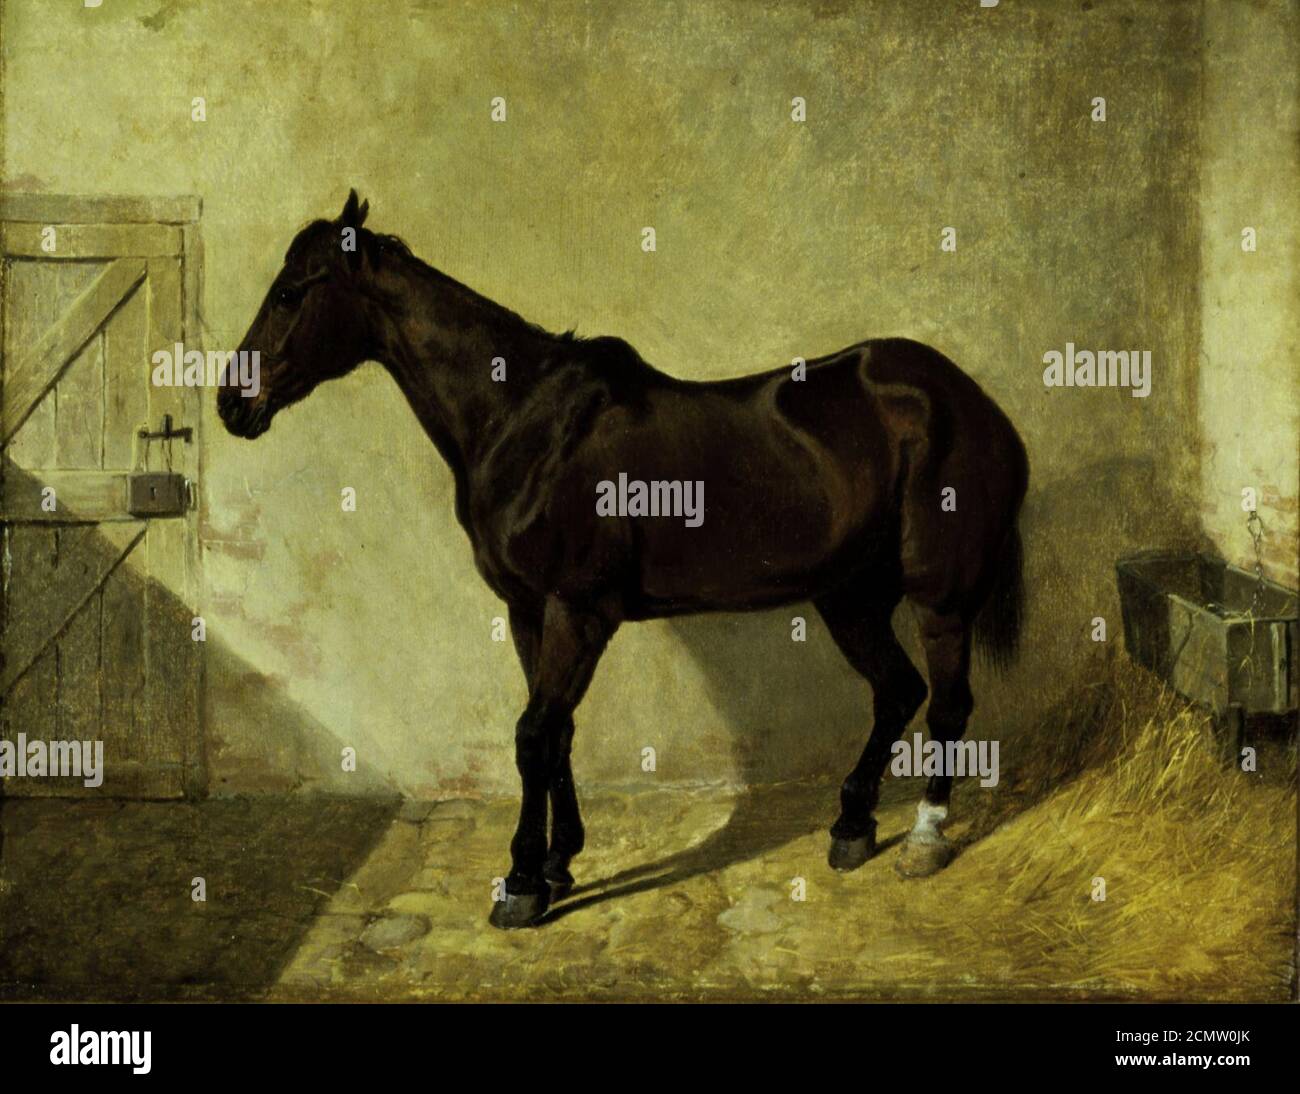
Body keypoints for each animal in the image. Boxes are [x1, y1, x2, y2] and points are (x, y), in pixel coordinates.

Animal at [220, 191, 1029, 929]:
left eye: (290, 292)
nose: (232, 402)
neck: (524, 421)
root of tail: (969, 400)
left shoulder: (577, 612)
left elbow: (533, 736)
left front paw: (521, 885)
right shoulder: (528, 612)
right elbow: (556, 735)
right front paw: (558, 861)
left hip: (938, 598)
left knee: (948, 703)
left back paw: (923, 841)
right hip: (849, 597)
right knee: (896, 690)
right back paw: (853, 827)